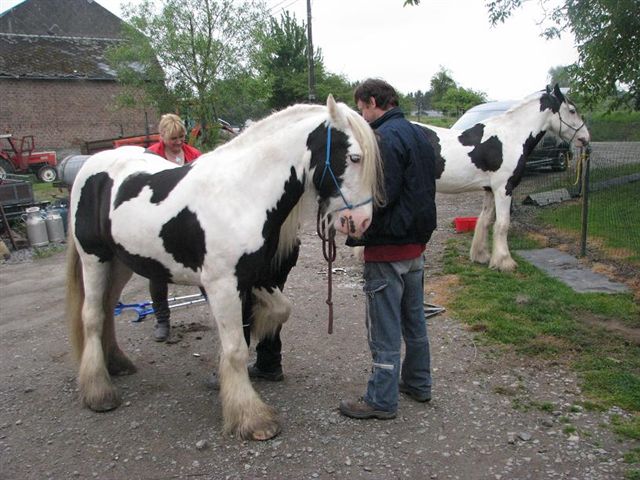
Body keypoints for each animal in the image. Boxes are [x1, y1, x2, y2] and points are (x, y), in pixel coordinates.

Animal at [67, 95, 382, 440]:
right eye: (354, 157)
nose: (361, 222)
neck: (241, 193)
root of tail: (91, 165)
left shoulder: (251, 277)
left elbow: (278, 311)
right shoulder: (222, 285)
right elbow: (235, 348)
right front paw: (251, 418)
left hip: (121, 262)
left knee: (107, 309)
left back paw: (116, 364)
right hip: (94, 258)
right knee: (92, 316)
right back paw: (99, 392)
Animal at [416, 85, 592, 270]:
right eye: (572, 110)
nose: (585, 138)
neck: (510, 136)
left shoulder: (489, 189)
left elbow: (485, 221)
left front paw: (481, 256)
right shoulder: (504, 188)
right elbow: (502, 224)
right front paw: (504, 262)